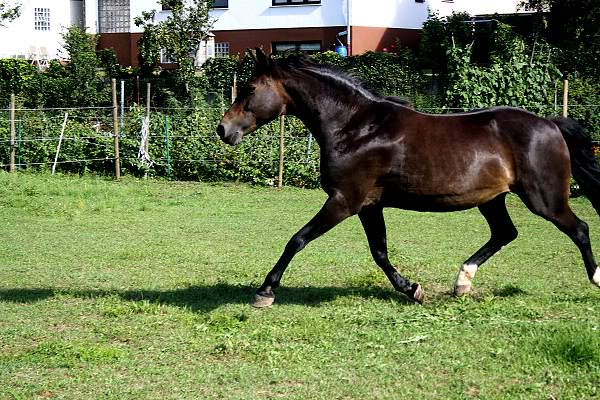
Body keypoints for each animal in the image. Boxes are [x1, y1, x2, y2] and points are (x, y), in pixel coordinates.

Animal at [216, 49, 600, 306]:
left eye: (249, 89)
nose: (223, 130)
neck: (356, 127)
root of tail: (550, 124)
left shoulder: (344, 201)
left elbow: (296, 240)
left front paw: (265, 291)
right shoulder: (368, 205)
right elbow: (380, 252)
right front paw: (413, 290)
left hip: (544, 199)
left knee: (579, 228)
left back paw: (596, 279)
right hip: (492, 200)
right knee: (505, 233)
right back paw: (461, 283)